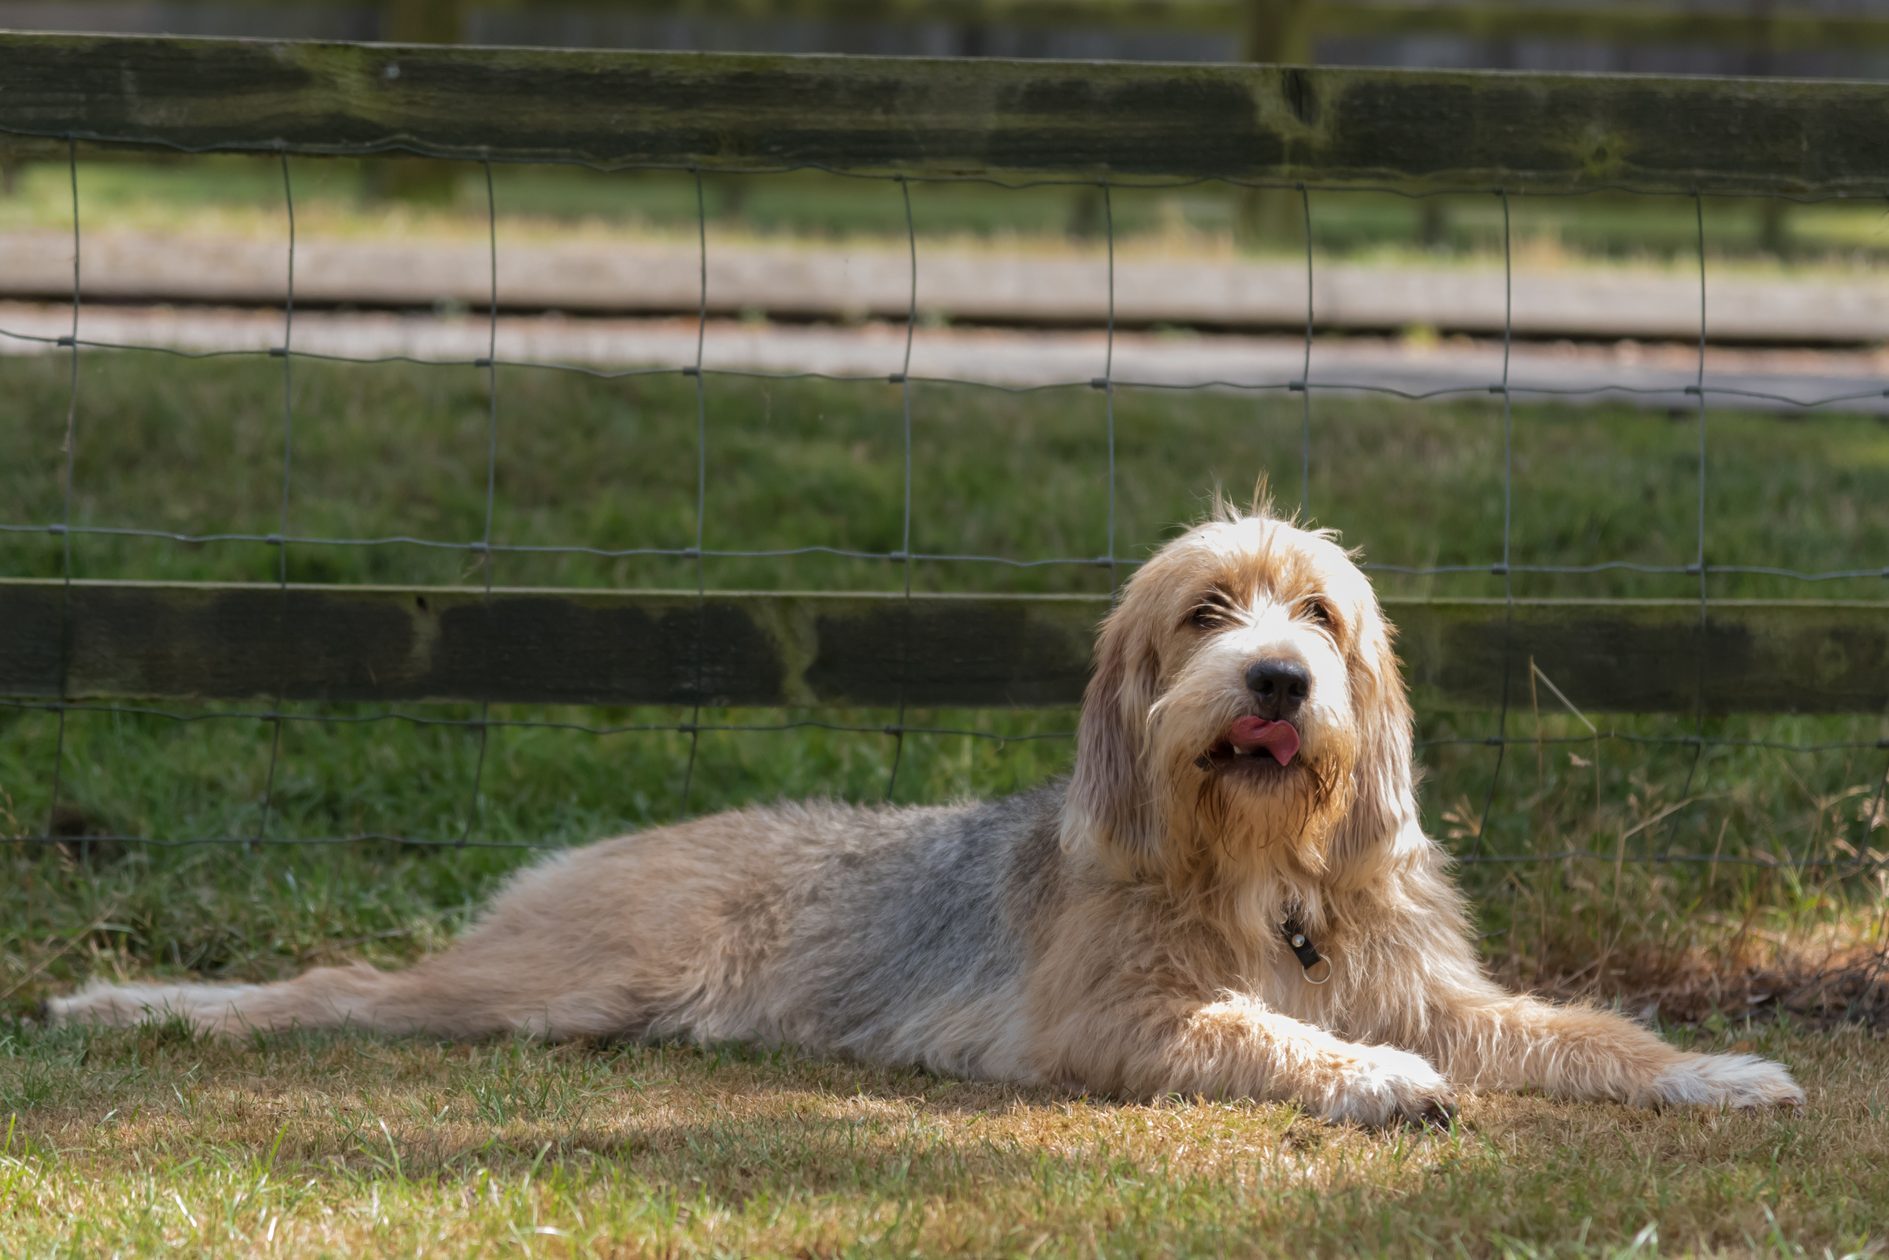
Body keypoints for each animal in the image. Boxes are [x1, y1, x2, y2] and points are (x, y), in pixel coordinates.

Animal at [44, 502, 1798, 1125]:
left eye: (1319, 613)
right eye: (1206, 610)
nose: (1278, 680)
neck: (1263, 878)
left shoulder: (1436, 987)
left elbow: (1573, 1028)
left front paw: (1708, 1068)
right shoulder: (1124, 1019)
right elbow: (1265, 1032)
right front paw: (1368, 1078)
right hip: (546, 983)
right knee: (334, 988)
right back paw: (132, 1007)